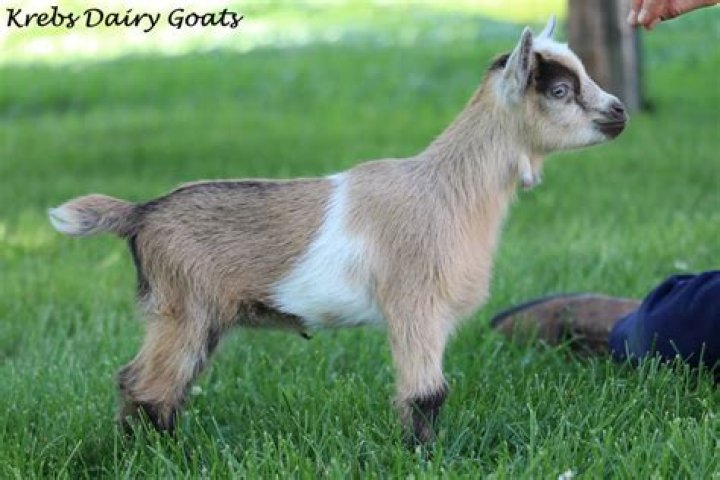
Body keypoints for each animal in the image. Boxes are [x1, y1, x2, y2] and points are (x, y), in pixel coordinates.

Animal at [48, 17, 627, 444]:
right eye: (560, 89)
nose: (619, 112)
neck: (447, 189)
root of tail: (141, 212)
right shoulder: (416, 305)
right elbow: (427, 394)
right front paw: (426, 455)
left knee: (145, 381)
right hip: (185, 309)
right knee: (150, 385)